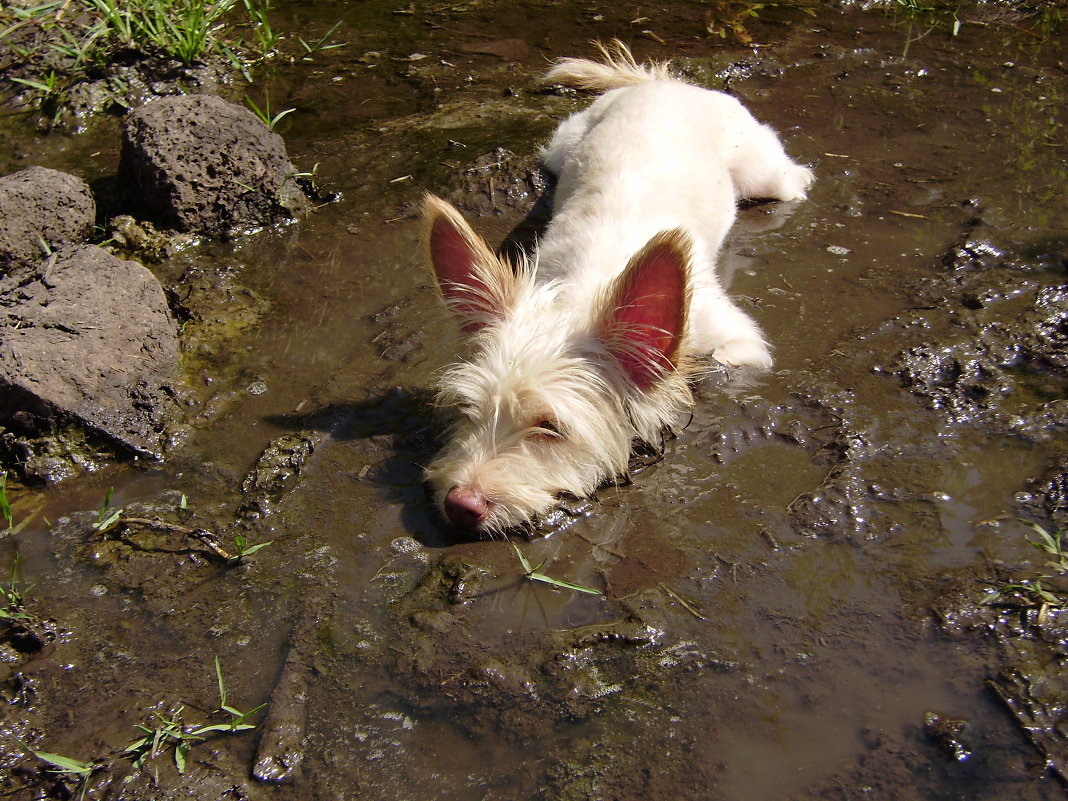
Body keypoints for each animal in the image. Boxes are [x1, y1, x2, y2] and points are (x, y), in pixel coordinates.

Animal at [420, 40, 811, 536]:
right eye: (468, 409)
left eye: (551, 427)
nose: (460, 504)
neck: (585, 288)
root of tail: (665, 84)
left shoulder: (739, 340)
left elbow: (718, 362)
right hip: (563, 144)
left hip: (762, 171)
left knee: (790, 177)